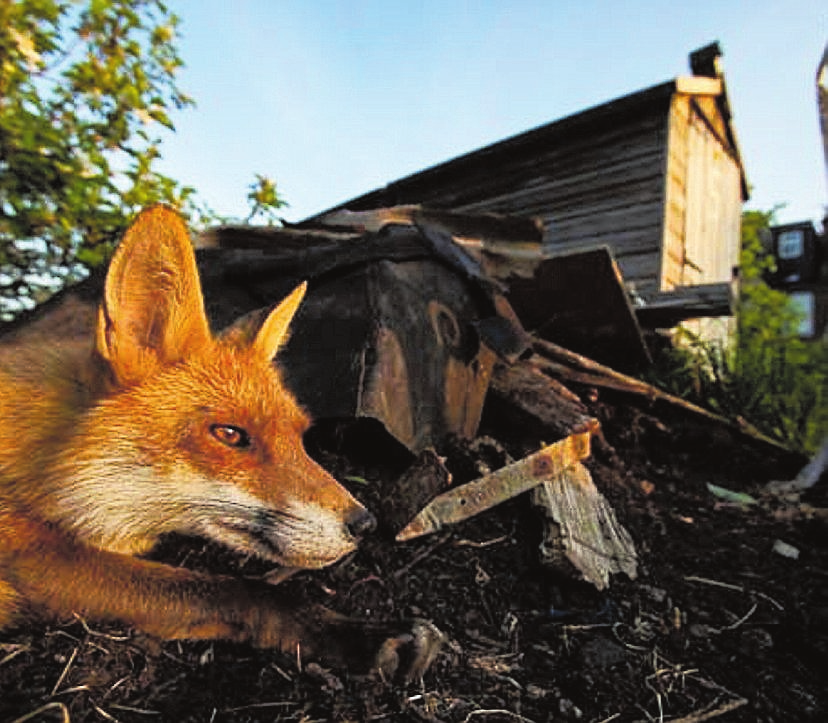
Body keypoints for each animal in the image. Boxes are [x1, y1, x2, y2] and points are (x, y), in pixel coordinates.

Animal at [0, 206, 444, 680]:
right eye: (230, 434)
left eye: (299, 438)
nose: (364, 524)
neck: (41, 459)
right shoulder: (30, 555)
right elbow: (243, 592)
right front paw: (355, 635)